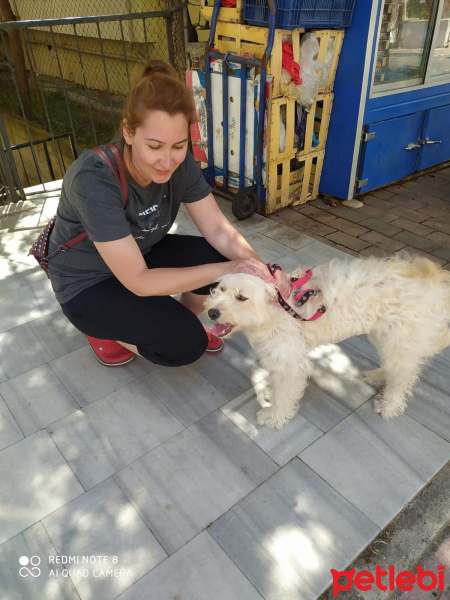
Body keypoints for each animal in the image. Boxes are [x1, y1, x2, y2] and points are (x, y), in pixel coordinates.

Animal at [205, 255, 450, 428]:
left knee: (404, 376)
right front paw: (271, 395)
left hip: (400, 340)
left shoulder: (291, 364)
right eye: (221, 289)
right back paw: (380, 376)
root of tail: (438, 283)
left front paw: (275, 416)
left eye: (241, 297)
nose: (212, 312)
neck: (276, 310)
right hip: (385, 336)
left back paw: (390, 405)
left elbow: (285, 394)